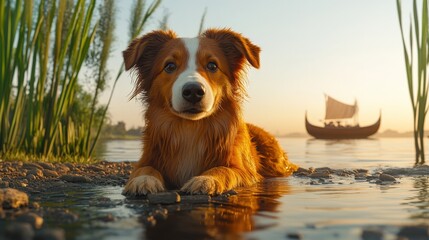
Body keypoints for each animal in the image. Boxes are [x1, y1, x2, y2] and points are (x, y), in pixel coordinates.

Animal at [119, 29, 294, 196]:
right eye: (169, 66)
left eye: (212, 66)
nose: (193, 91)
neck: (190, 128)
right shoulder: (147, 158)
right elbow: (144, 168)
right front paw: (143, 179)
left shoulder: (245, 172)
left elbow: (225, 169)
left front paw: (206, 179)